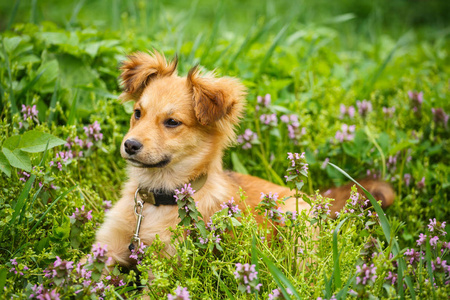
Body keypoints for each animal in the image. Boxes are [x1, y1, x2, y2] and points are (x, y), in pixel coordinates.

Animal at [95, 50, 394, 268]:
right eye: (137, 113)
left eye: (172, 122)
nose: (130, 145)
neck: (155, 202)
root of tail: (311, 199)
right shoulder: (106, 249)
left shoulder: (166, 265)